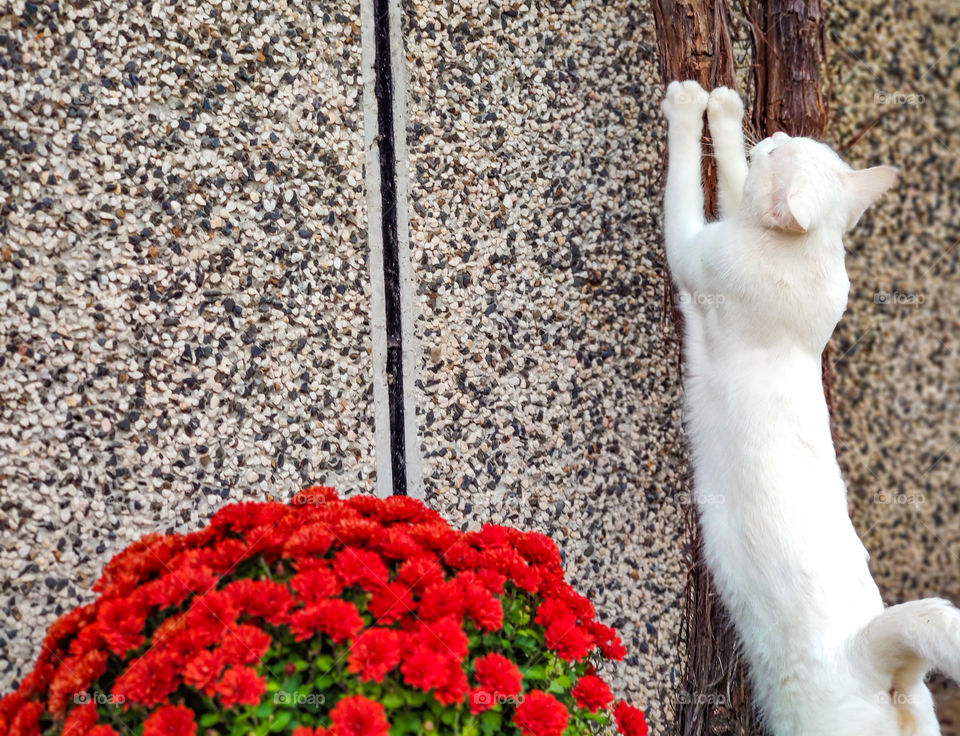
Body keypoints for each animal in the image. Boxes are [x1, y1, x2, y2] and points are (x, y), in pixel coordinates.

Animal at [664, 80, 960, 736]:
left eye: (779, 153)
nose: (773, 134)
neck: (808, 259)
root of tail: (874, 661)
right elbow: (731, 177)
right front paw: (730, 116)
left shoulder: (692, 249)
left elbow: (694, 180)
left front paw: (699, 106)